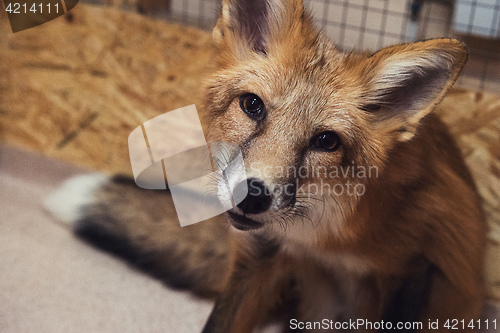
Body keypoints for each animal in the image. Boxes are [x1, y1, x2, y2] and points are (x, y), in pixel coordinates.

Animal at [46, 0, 484, 330]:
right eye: (252, 105)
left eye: (326, 141)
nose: (251, 196)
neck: (323, 236)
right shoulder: (259, 256)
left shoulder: (420, 265)